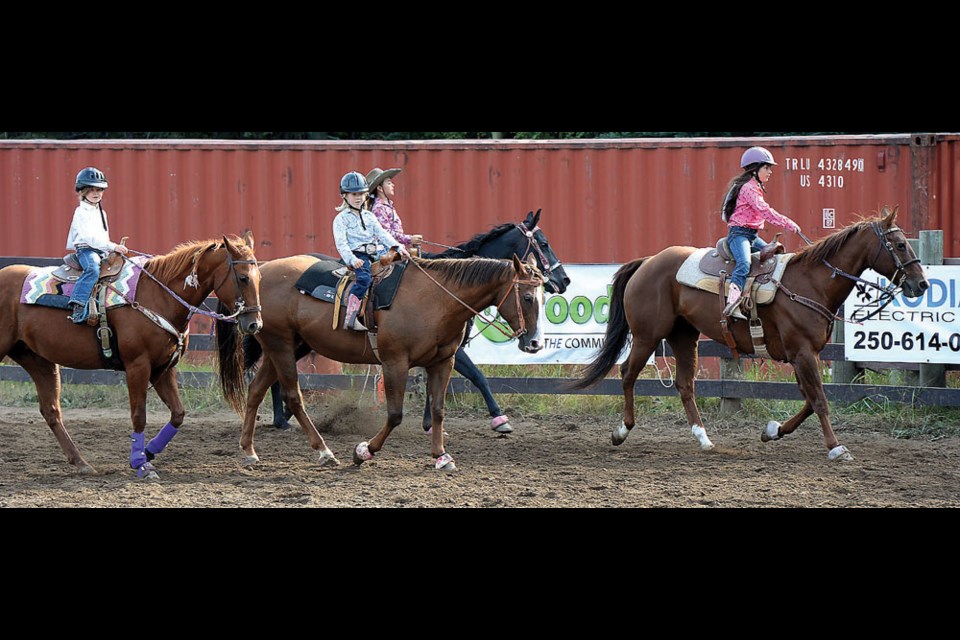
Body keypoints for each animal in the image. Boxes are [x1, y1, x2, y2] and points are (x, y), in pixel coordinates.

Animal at [0, 232, 262, 478]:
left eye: (259, 278)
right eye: (243, 277)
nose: (255, 324)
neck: (158, 296)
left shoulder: (164, 369)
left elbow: (178, 414)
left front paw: (148, 452)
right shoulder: (138, 366)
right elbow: (139, 415)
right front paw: (141, 464)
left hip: (38, 360)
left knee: (51, 410)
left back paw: (82, 463)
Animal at [244, 254, 544, 470]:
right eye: (528, 297)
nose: (535, 343)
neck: (436, 300)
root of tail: (264, 270)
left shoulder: (442, 362)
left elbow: (438, 410)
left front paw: (441, 456)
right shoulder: (395, 362)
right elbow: (395, 414)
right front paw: (363, 451)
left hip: (288, 346)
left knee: (256, 390)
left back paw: (249, 451)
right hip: (280, 344)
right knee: (292, 396)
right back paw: (324, 451)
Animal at [266, 210, 568, 436]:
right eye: (543, 243)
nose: (564, 280)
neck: (442, 290)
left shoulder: (441, 349)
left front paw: (430, 423)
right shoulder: (454, 351)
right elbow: (478, 376)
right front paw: (499, 419)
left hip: (302, 342)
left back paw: (282, 418)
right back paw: (281, 419)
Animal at [572, 208, 928, 462]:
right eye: (899, 244)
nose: (921, 284)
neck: (809, 283)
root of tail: (648, 262)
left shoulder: (801, 355)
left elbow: (809, 399)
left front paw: (773, 431)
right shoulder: (803, 353)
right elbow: (820, 400)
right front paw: (836, 448)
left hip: (684, 336)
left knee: (685, 385)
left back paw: (704, 439)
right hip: (648, 335)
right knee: (627, 374)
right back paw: (621, 431)